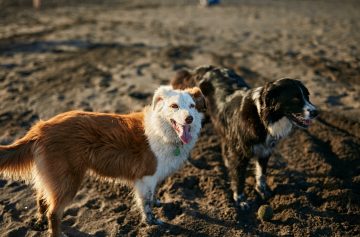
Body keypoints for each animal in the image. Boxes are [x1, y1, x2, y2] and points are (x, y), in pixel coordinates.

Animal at [0, 86, 202, 236]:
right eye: (174, 106)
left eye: (192, 106)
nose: (189, 119)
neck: (162, 129)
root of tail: (40, 128)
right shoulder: (146, 177)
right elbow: (146, 204)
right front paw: (152, 223)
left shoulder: (152, 178)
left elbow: (152, 198)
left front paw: (158, 203)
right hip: (68, 181)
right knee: (54, 213)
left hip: (53, 177)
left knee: (41, 200)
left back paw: (40, 223)